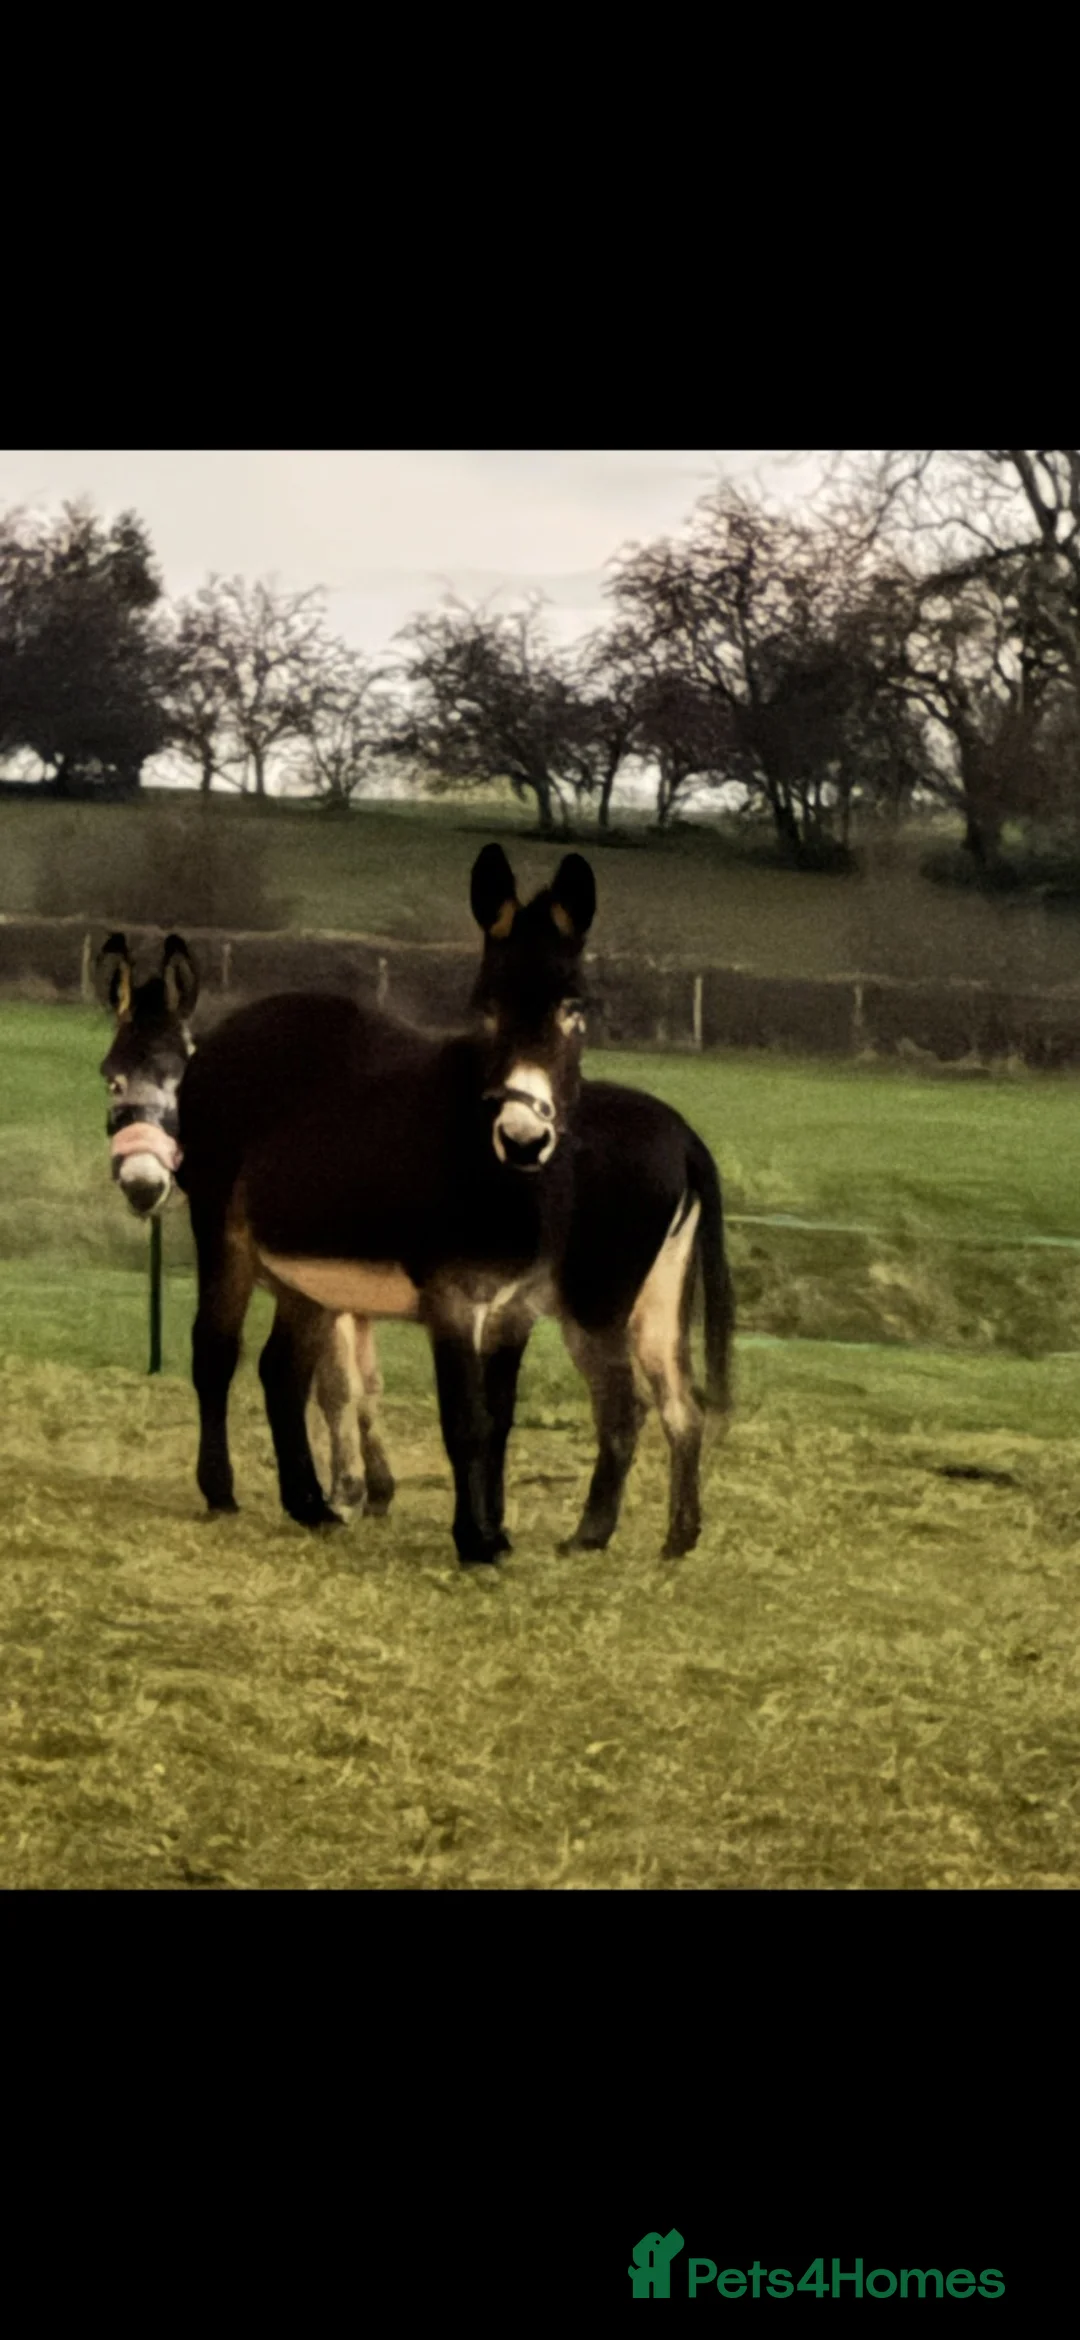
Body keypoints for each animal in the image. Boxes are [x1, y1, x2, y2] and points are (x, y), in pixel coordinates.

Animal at [171, 843, 734, 1564]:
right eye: (486, 1008)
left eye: (573, 1010)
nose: (522, 1139)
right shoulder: (453, 1299)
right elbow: (465, 1420)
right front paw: (476, 1541)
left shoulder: (512, 1310)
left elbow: (496, 1422)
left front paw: (492, 1531)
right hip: (227, 1234)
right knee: (217, 1353)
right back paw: (224, 1492)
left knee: (281, 1372)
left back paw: (311, 1506)